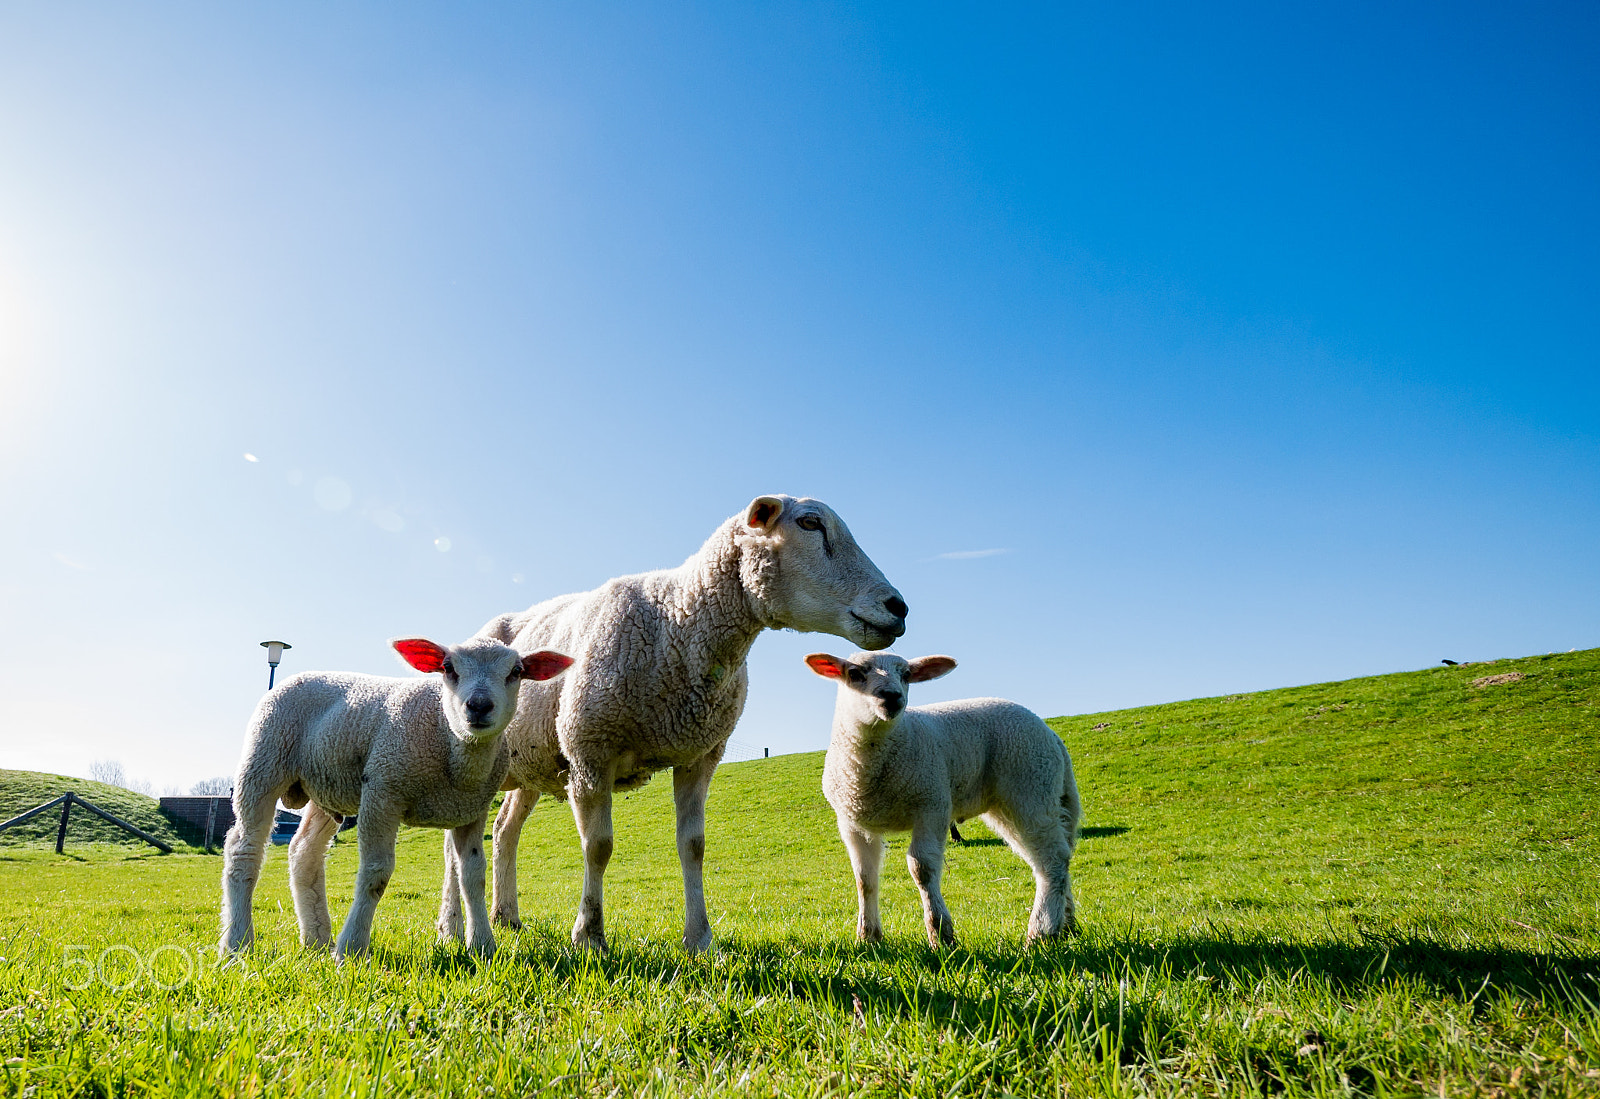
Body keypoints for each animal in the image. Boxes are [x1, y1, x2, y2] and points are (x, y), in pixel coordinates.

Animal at [219, 637, 573, 961]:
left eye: (516, 672)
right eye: (448, 668)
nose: (478, 706)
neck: (451, 743)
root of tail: (299, 676)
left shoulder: (472, 810)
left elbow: (473, 876)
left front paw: (484, 946)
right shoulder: (382, 791)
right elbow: (376, 874)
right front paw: (351, 949)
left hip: (326, 790)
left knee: (304, 852)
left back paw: (317, 940)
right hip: (264, 761)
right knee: (243, 848)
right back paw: (237, 944)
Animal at [453, 494, 907, 953]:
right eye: (811, 523)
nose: (899, 608)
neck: (677, 622)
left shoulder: (700, 755)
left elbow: (693, 846)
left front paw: (699, 937)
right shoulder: (590, 751)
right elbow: (598, 847)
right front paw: (589, 936)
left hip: (529, 767)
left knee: (503, 830)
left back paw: (505, 916)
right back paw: (454, 926)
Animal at [806, 651, 1081, 947]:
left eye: (906, 675)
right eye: (855, 674)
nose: (892, 697)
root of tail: (1051, 734)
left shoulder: (932, 805)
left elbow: (922, 869)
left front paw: (940, 935)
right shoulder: (852, 823)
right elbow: (864, 878)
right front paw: (868, 938)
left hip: (1031, 788)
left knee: (1053, 859)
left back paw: (1042, 931)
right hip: (1011, 804)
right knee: (1047, 859)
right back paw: (1066, 924)